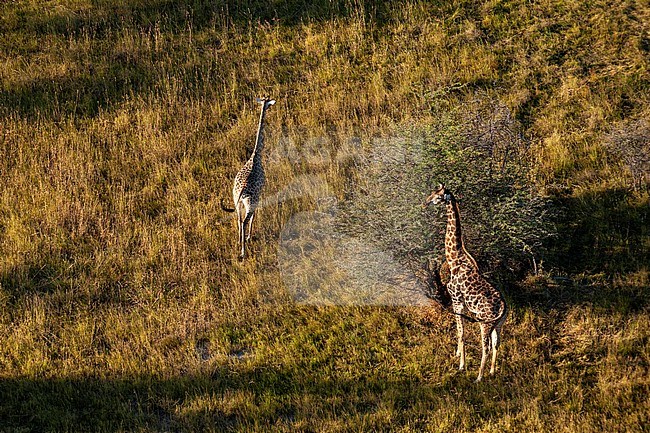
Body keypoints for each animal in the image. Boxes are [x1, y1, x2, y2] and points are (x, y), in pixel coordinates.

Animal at [221, 96, 274, 258]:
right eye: (268, 104)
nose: (268, 106)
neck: (256, 156)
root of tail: (242, 190)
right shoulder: (259, 194)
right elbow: (255, 216)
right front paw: (250, 236)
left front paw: (245, 238)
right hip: (249, 202)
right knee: (245, 220)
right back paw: (243, 252)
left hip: (236, 200)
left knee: (239, 218)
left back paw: (239, 240)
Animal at [420, 184, 506, 380]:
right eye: (432, 193)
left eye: (437, 197)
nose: (425, 203)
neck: (455, 259)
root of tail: (503, 308)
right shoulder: (463, 305)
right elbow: (461, 331)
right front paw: (458, 355)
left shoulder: (456, 301)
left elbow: (461, 333)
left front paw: (461, 365)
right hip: (498, 324)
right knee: (496, 343)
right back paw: (491, 371)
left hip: (484, 323)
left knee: (486, 346)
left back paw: (479, 377)